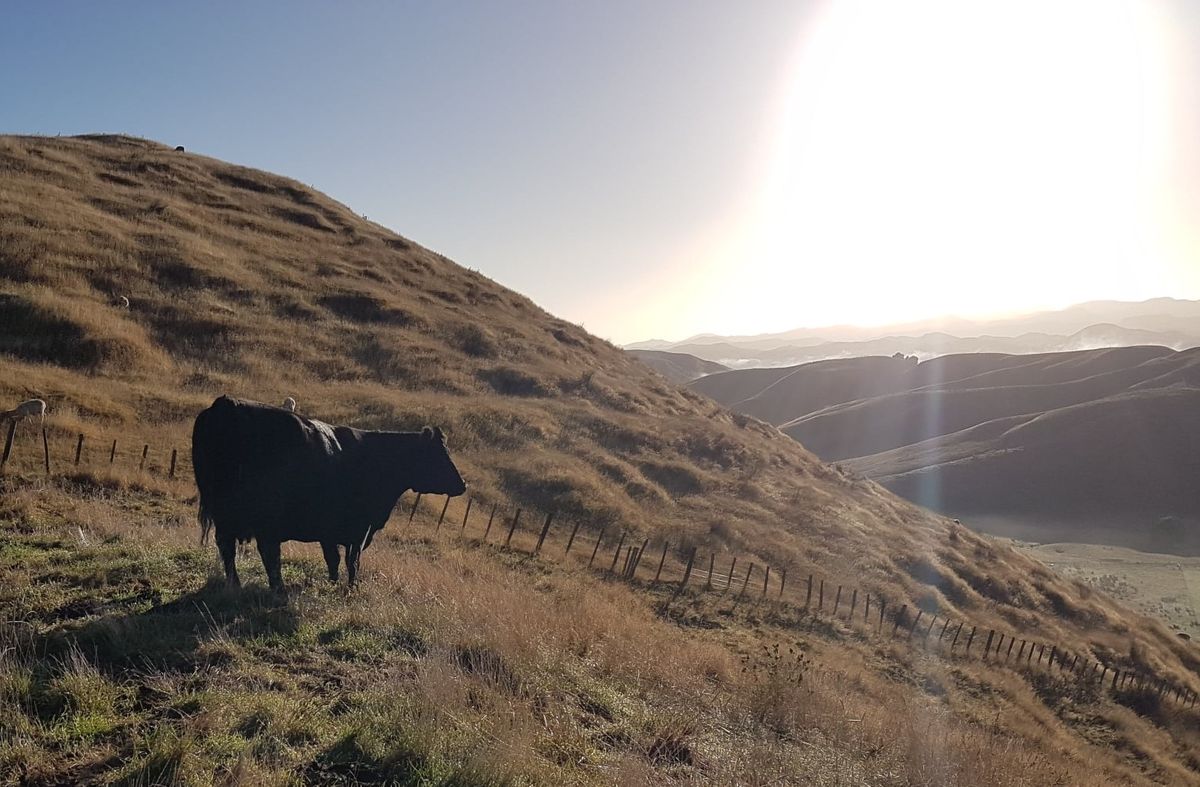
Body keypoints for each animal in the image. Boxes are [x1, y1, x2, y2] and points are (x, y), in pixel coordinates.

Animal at [190, 393, 463, 590]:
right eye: (440, 456)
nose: (462, 485)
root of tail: (226, 404)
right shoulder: (360, 528)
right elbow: (352, 562)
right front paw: (351, 588)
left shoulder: (329, 530)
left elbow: (333, 559)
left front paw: (333, 584)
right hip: (263, 513)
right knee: (267, 551)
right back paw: (277, 590)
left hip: (226, 512)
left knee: (228, 546)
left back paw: (235, 585)